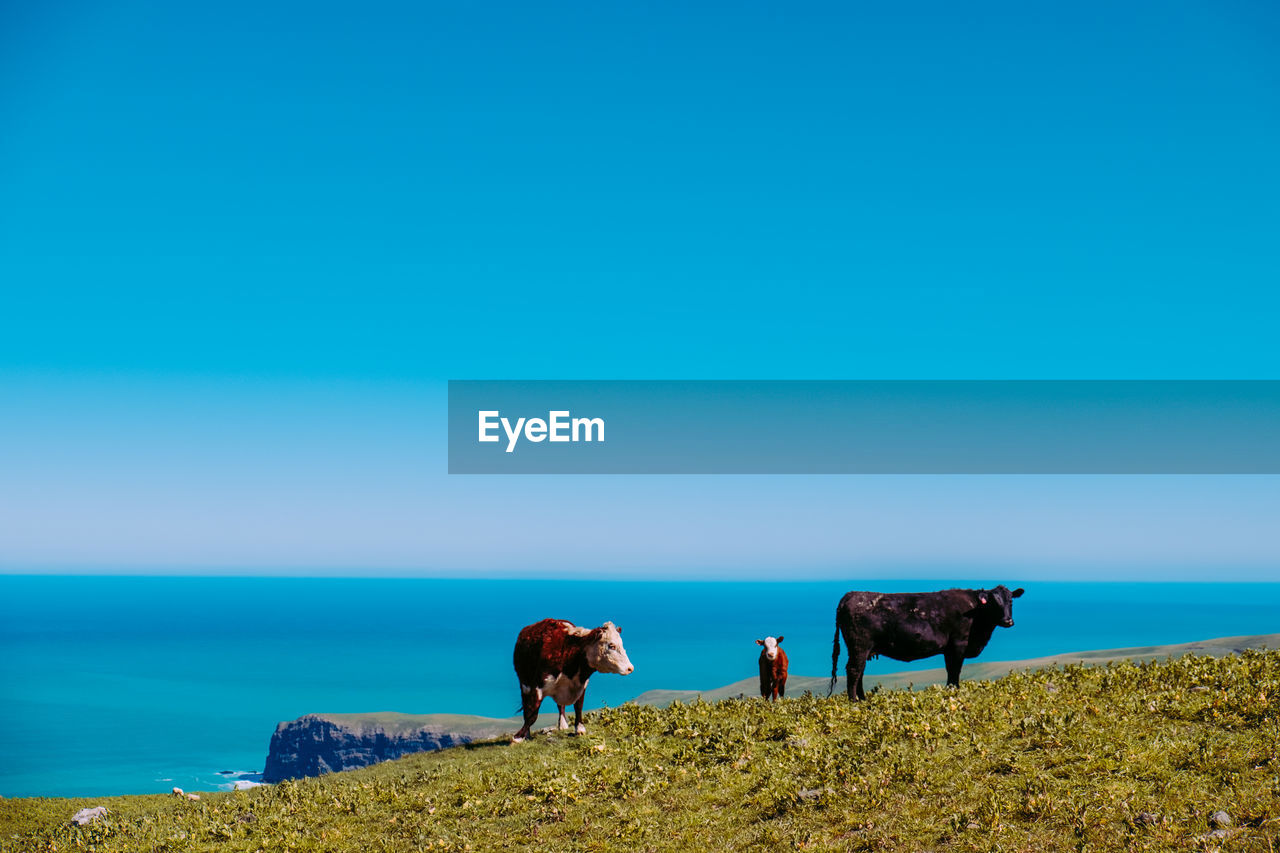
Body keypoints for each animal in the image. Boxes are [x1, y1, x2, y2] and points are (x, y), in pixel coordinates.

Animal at [506, 614, 632, 742]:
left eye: (622, 644)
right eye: (611, 645)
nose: (630, 668)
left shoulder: (581, 684)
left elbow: (578, 706)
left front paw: (580, 729)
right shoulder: (538, 686)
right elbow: (532, 713)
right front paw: (518, 736)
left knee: (560, 706)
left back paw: (563, 725)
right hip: (524, 683)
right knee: (527, 707)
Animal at [829, 584, 1029, 696]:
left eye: (1011, 601)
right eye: (994, 602)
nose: (1008, 621)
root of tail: (850, 595)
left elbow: (952, 672)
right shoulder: (958, 644)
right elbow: (954, 671)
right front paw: (953, 693)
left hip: (864, 649)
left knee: (860, 672)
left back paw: (863, 700)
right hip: (859, 646)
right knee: (854, 671)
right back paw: (854, 702)